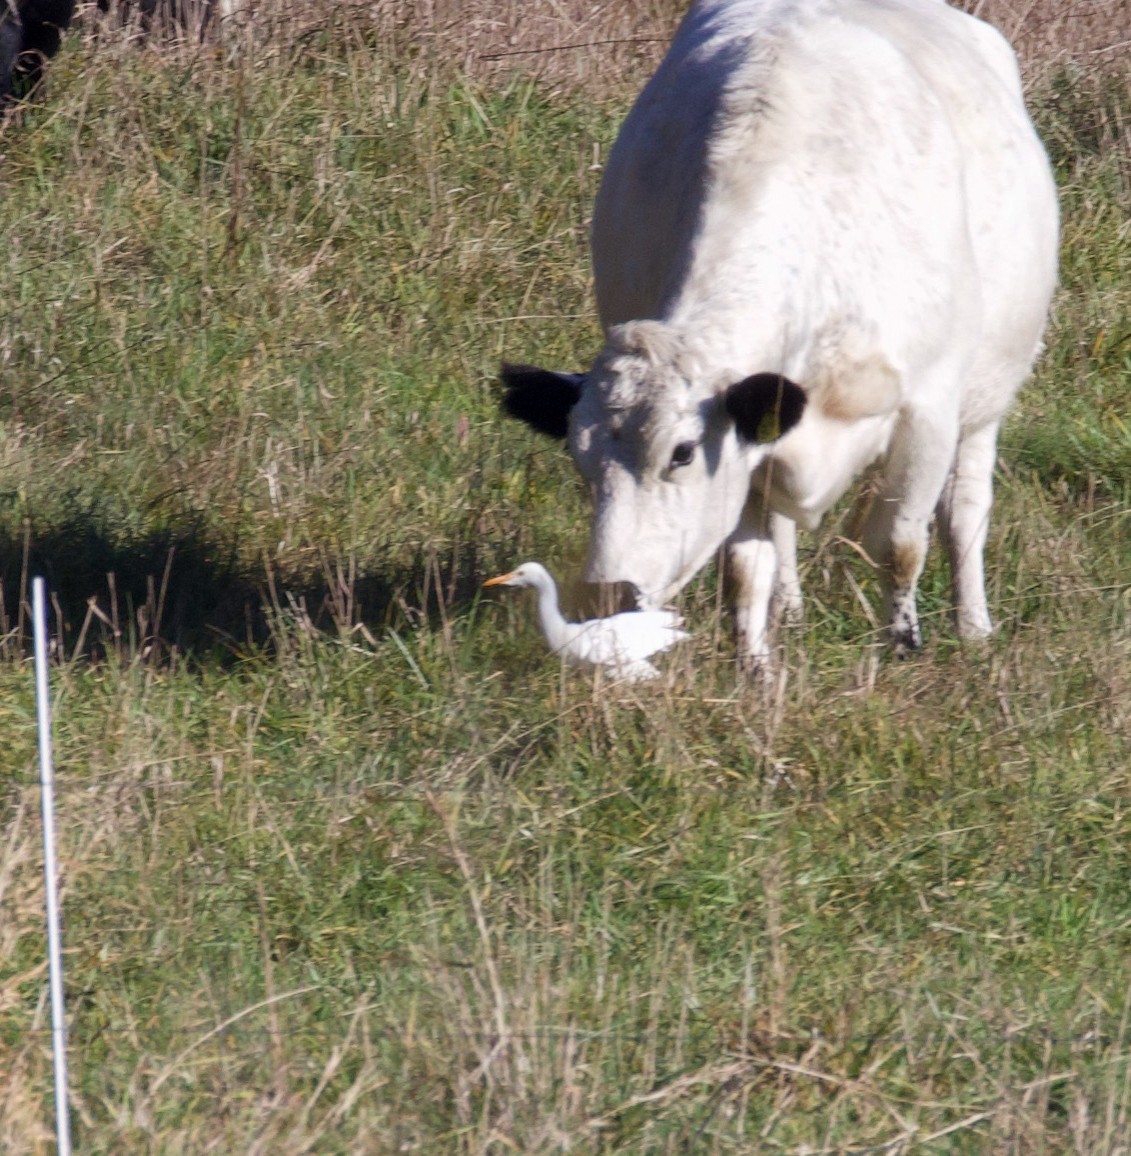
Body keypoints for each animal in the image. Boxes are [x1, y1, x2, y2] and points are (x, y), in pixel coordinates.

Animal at [501, 0, 1059, 670]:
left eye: (681, 452)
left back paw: (973, 627)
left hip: (986, 400)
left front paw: (903, 645)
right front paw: (755, 668)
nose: (610, 592)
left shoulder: (930, 410)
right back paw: (789, 611)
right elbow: (746, 565)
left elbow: (900, 544)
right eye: (579, 460)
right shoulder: (750, 438)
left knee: (966, 510)